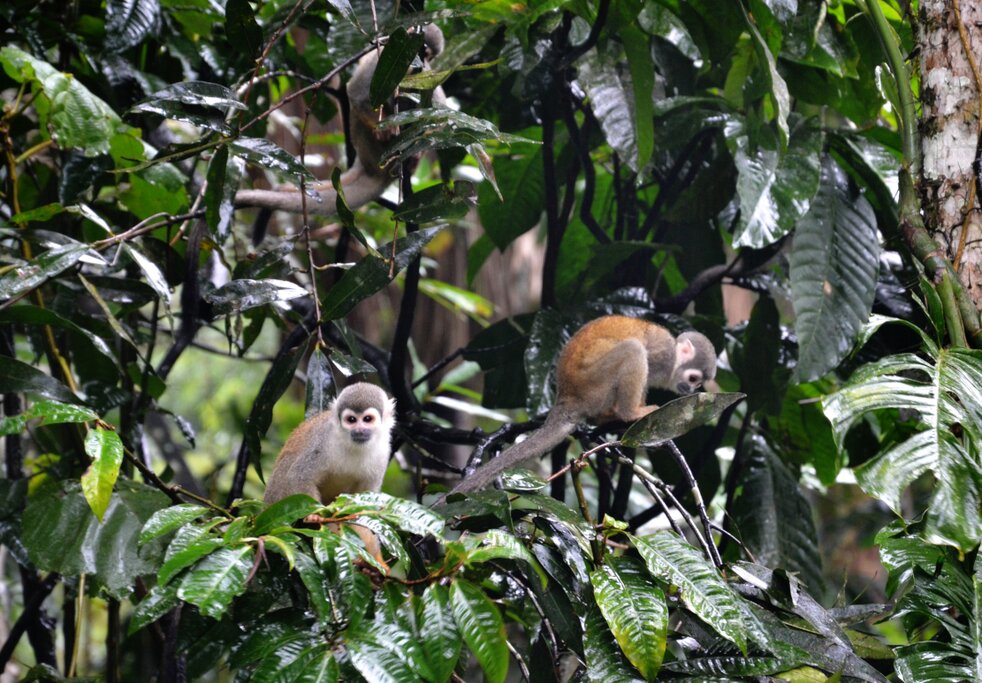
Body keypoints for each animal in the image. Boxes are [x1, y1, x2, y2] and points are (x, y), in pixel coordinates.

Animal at [235, 24, 445, 217]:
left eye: (428, 56)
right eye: (418, 50)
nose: (419, 66)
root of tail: (367, 166)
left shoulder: (427, 73)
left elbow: (439, 114)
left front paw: (419, 147)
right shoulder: (382, 60)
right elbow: (356, 94)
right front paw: (382, 129)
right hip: (369, 148)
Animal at [264, 382, 396, 565]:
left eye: (367, 419)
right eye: (351, 420)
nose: (359, 430)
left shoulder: (383, 452)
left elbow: (363, 501)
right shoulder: (323, 440)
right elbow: (298, 476)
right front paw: (314, 515)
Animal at [445, 316, 717, 497]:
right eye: (693, 378)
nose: (690, 390)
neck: (675, 357)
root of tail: (567, 398)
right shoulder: (664, 357)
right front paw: (635, 412)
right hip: (593, 384)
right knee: (633, 349)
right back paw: (626, 413)